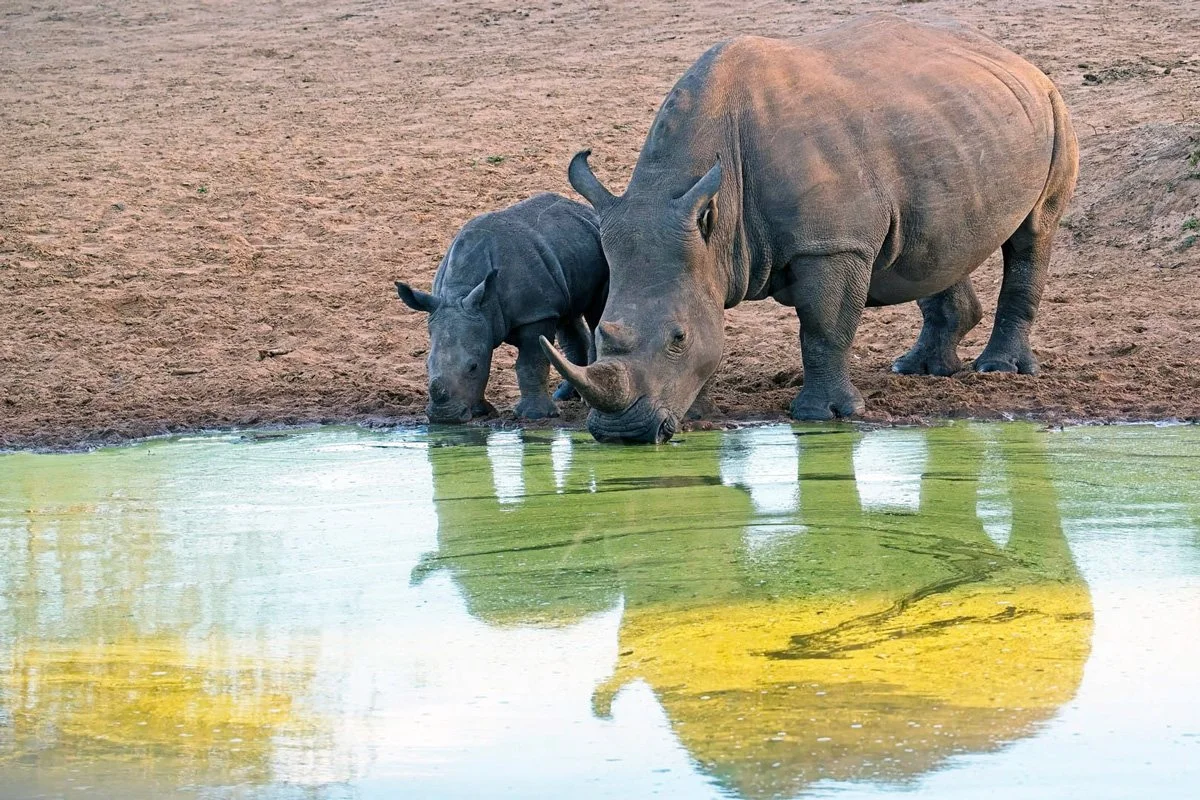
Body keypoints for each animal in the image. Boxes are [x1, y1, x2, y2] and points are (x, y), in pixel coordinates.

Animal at [396, 193, 608, 422]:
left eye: (472, 367)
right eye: (426, 366)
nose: (445, 417)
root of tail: (585, 210)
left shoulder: (536, 314)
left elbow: (531, 363)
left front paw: (535, 415)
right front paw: (480, 412)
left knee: (596, 313)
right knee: (568, 316)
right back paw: (563, 395)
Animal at [543, 14, 1079, 443]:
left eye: (678, 338)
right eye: (602, 336)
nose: (624, 434)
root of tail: (1020, 61)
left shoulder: (831, 245)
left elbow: (824, 328)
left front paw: (826, 416)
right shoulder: (702, 245)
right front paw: (697, 414)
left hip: (1053, 107)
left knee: (1033, 235)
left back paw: (999, 369)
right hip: (955, 124)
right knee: (936, 245)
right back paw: (918, 369)